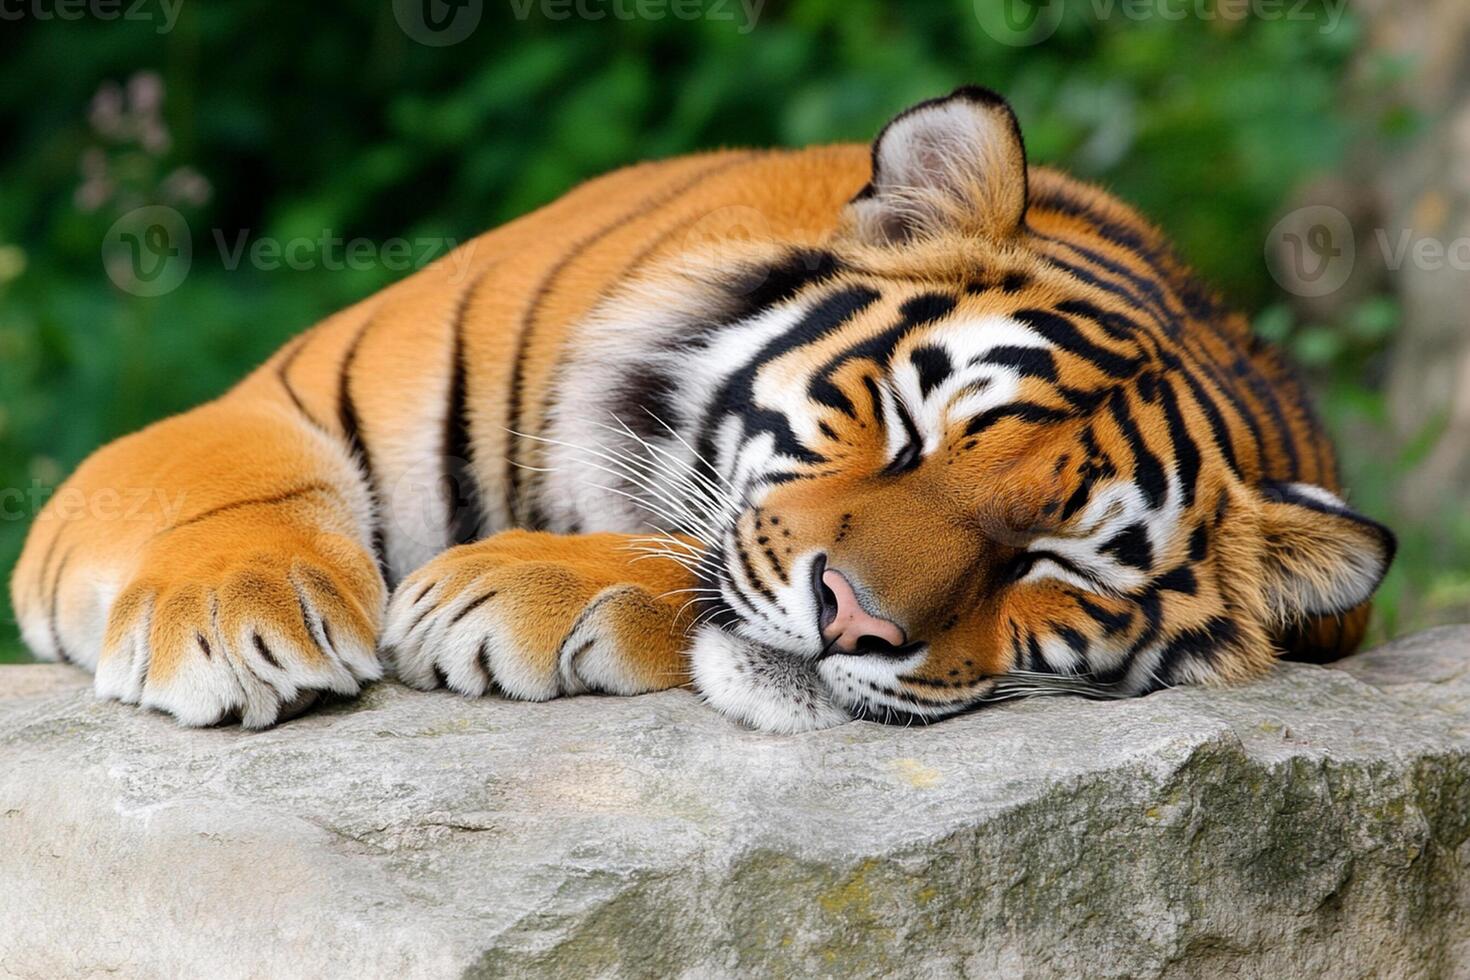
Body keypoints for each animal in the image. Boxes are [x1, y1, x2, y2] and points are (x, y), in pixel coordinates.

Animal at [10, 86, 1396, 733]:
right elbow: (224, 481)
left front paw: (518, 585)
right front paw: (231, 621)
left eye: (1054, 565)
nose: (855, 624)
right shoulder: (277, 393)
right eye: (909, 428)